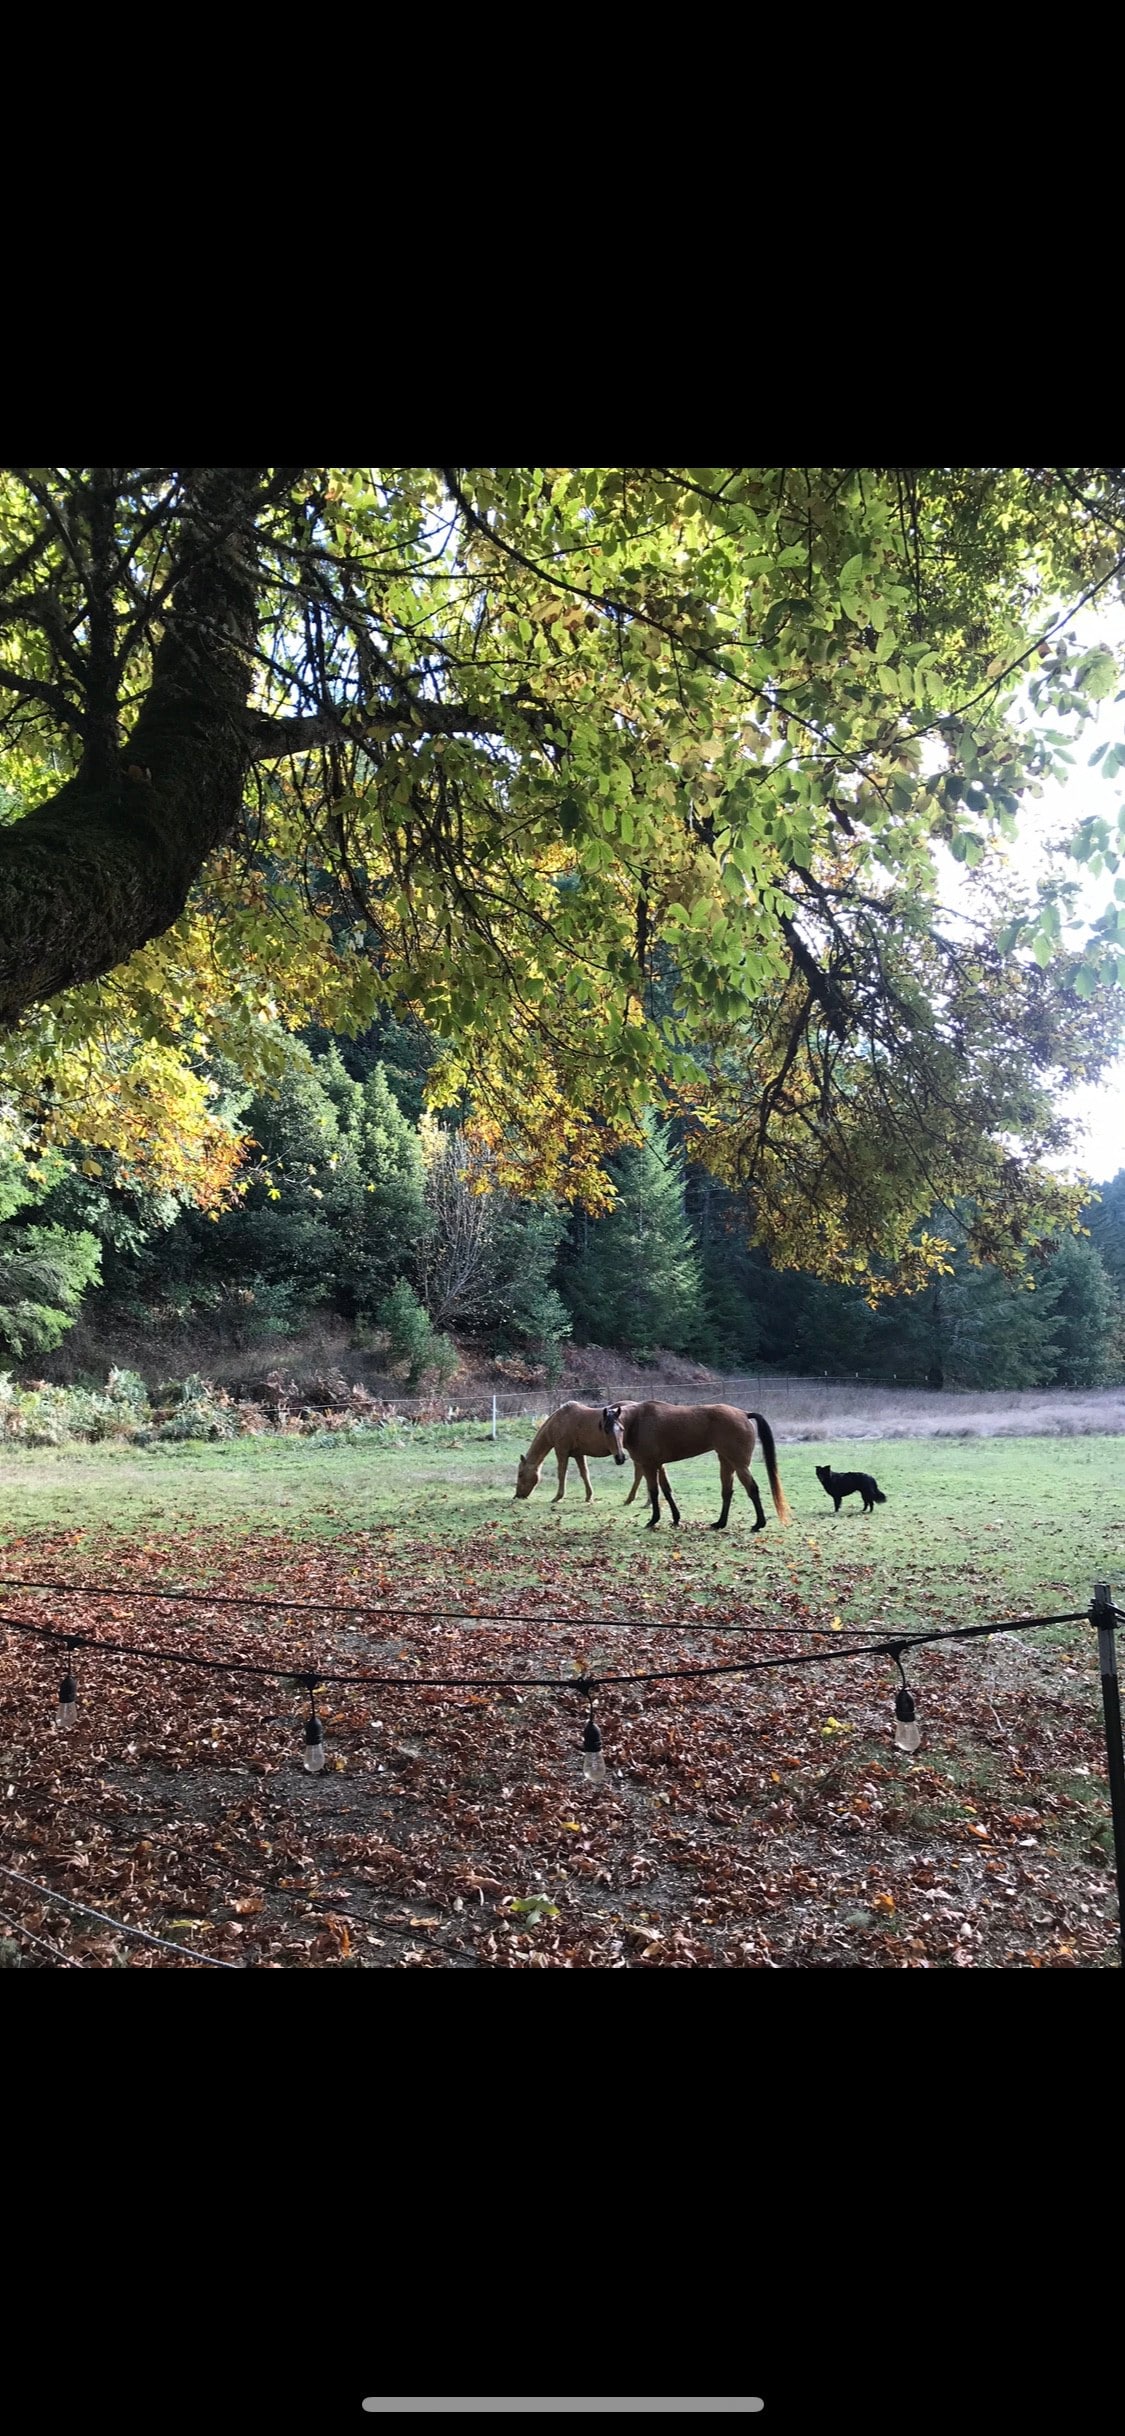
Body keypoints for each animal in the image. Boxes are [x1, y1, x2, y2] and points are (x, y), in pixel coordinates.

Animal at [513, 1403, 672, 1510]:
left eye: (520, 1474)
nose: (517, 1496)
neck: (559, 1422)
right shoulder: (578, 1454)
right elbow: (584, 1474)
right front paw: (589, 1496)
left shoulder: (561, 1451)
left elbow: (561, 1473)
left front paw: (558, 1497)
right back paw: (644, 1501)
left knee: (641, 1473)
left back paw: (638, 1500)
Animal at [618, 1403, 793, 1529]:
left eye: (620, 1428)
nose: (619, 1457)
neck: (637, 1422)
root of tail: (744, 1413)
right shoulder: (659, 1465)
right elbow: (666, 1490)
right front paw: (675, 1519)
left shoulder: (649, 1465)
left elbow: (654, 1492)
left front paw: (654, 1520)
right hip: (726, 1462)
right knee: (727, 1492)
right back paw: (720, 1523)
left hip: (739, 1465)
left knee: (752, 1489)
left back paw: (758, 1524)